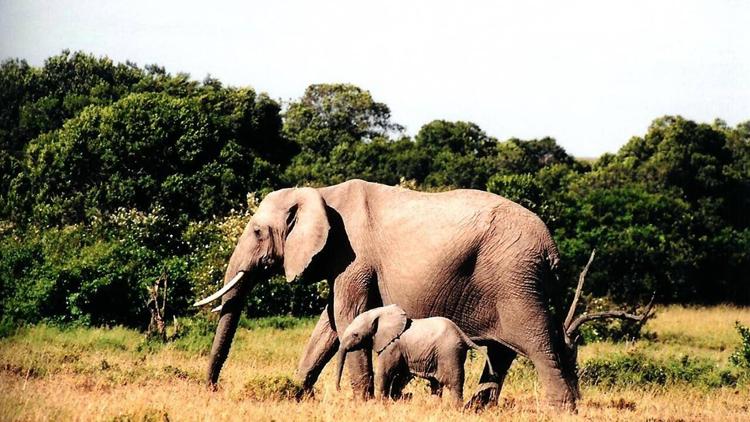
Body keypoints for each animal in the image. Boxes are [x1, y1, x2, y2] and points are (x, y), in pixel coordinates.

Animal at [336, 304, 490, 406]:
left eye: (355, 335)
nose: (338, 389)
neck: (379, 313)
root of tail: (462, 335)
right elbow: (400, 376)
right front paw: (402, 399)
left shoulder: (392, 346)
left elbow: (385, 373)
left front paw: (380, 404)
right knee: (436, 384)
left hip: (449, 353)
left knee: (453, 383)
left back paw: (455, 409)